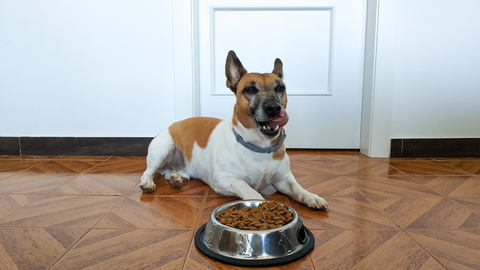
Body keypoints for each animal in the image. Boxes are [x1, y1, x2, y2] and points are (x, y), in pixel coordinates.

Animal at [139, 50, 326, 211]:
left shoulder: (283, 179)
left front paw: (311, 197)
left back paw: (176, 178)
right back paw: (148, 182)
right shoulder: (224, 179)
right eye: (250, 89)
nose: (274, 108)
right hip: (162, 150)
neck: (259, 146)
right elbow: (249, 188)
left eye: (280, 88)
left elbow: (297, 187)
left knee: (173, 173)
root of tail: (171, 125)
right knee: (149, 171)